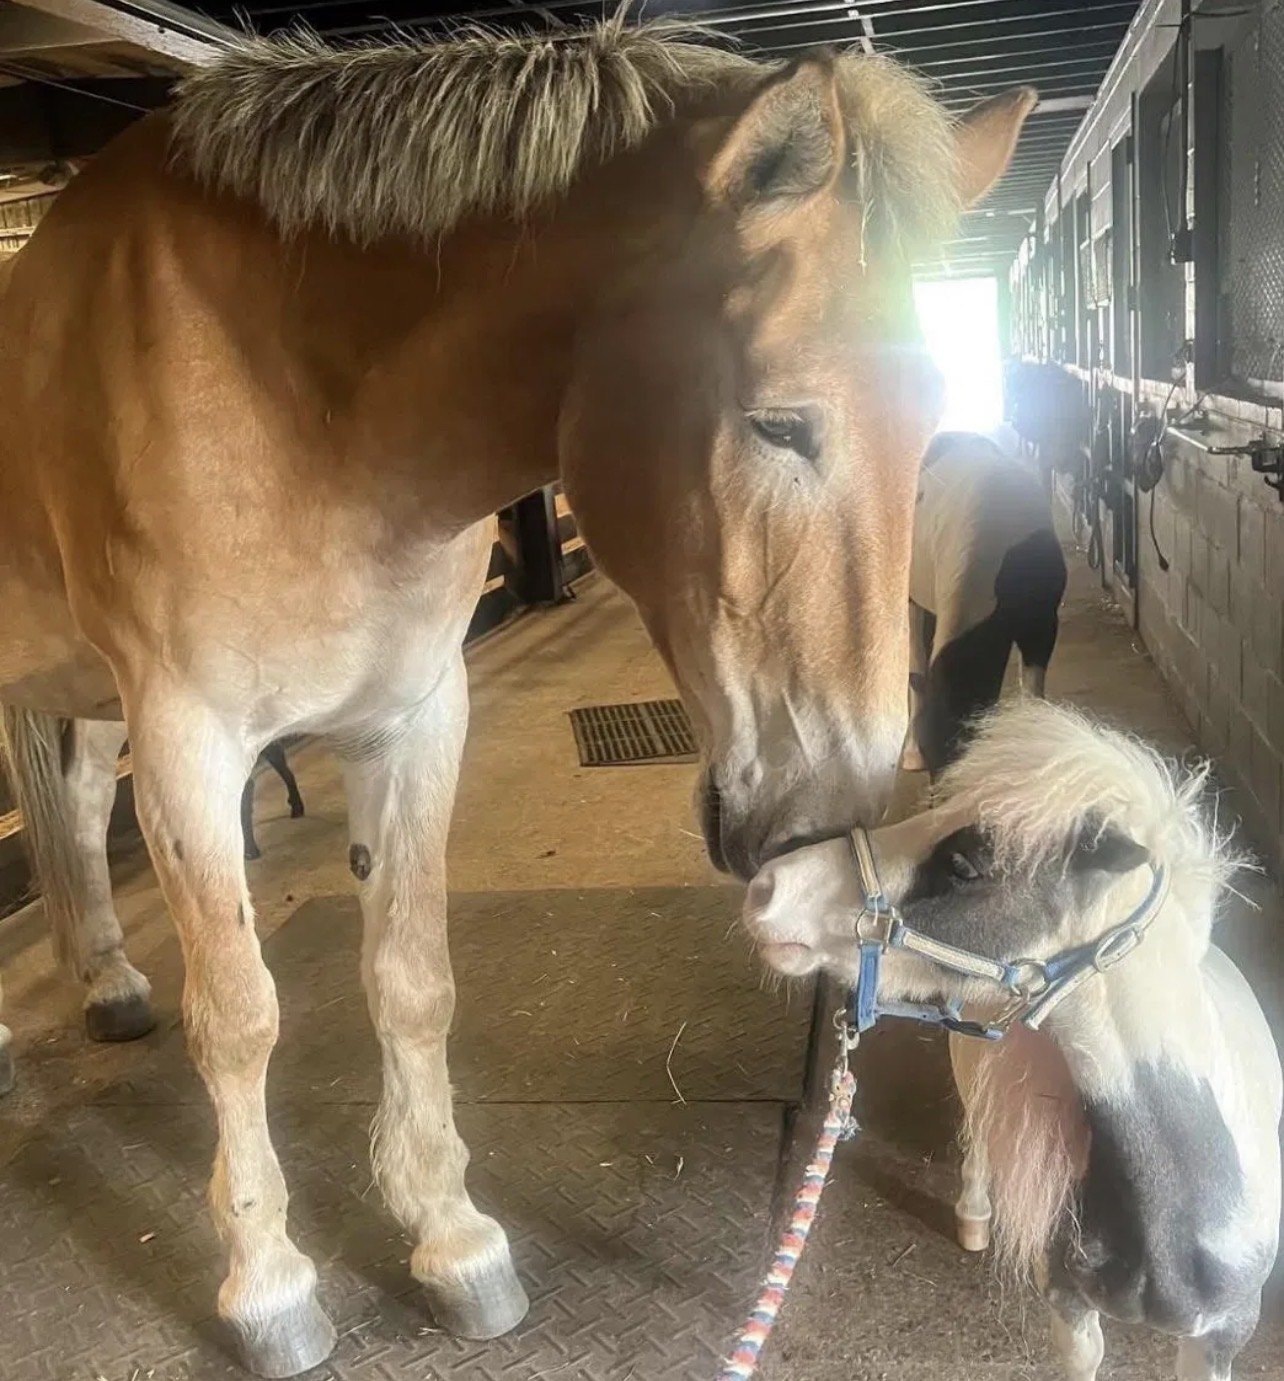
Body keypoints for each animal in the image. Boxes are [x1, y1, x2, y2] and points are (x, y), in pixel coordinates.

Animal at [0, 16, 1034, 1374]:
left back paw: (111, 987)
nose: (828, 827)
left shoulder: (410, 719)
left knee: (69, 805)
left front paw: (451, 1238)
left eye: (932, 418)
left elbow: (411, 980)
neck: (290, 394)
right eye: (777, 422)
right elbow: (239, 1015)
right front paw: (269, 1284)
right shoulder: (188, 742)